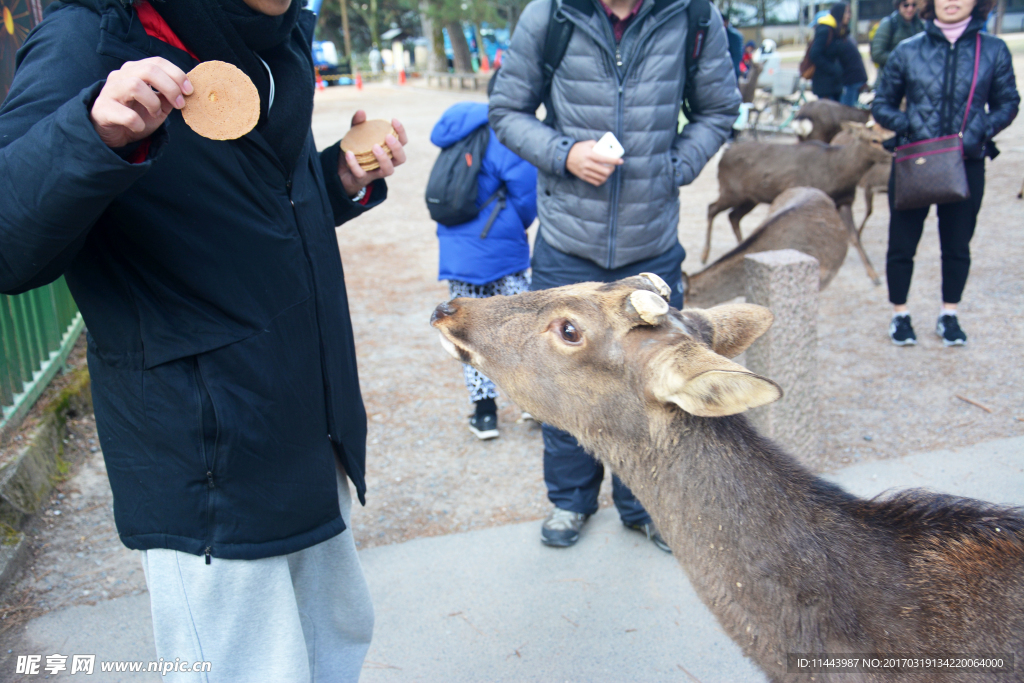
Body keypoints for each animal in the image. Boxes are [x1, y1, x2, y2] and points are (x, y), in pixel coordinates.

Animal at [704, 121, 888, 284]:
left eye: (885, 138)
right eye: (874, 140)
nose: (890, 155)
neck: (838, 175)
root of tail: (722, 157)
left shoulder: (845, 202)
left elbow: (855, 236)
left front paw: (874, 275)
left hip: (750, 199)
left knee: (733, 216)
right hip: (731, 191)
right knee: (712, 208)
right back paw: (705, 255)